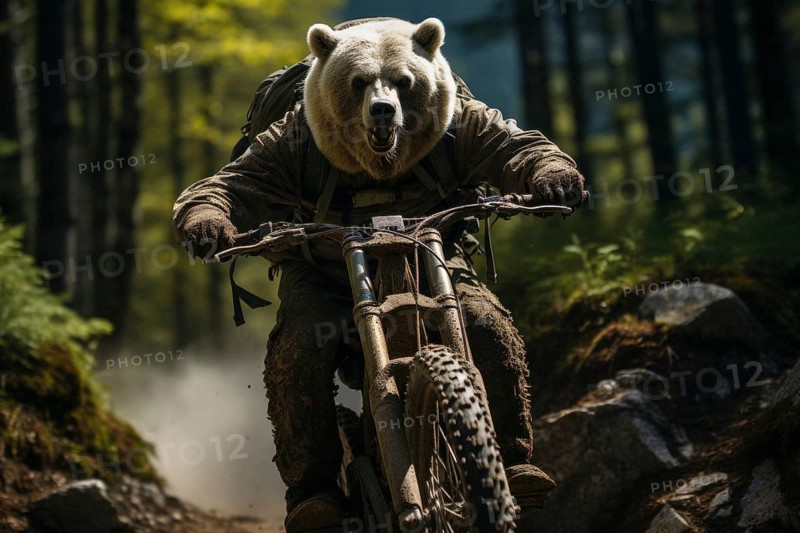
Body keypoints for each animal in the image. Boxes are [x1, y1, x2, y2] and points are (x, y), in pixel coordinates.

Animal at [173, 16, 588, 532]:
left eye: (405, 82)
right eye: (358, 82)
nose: (384, 111)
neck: (380, 173)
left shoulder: (466, 123)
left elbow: (518, 144)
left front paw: (558, 180)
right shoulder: (286, 146)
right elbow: (231, 182)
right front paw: (205, 226)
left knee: (488, 329)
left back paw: (522, 470)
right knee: (300, 359)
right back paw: (315, 499)